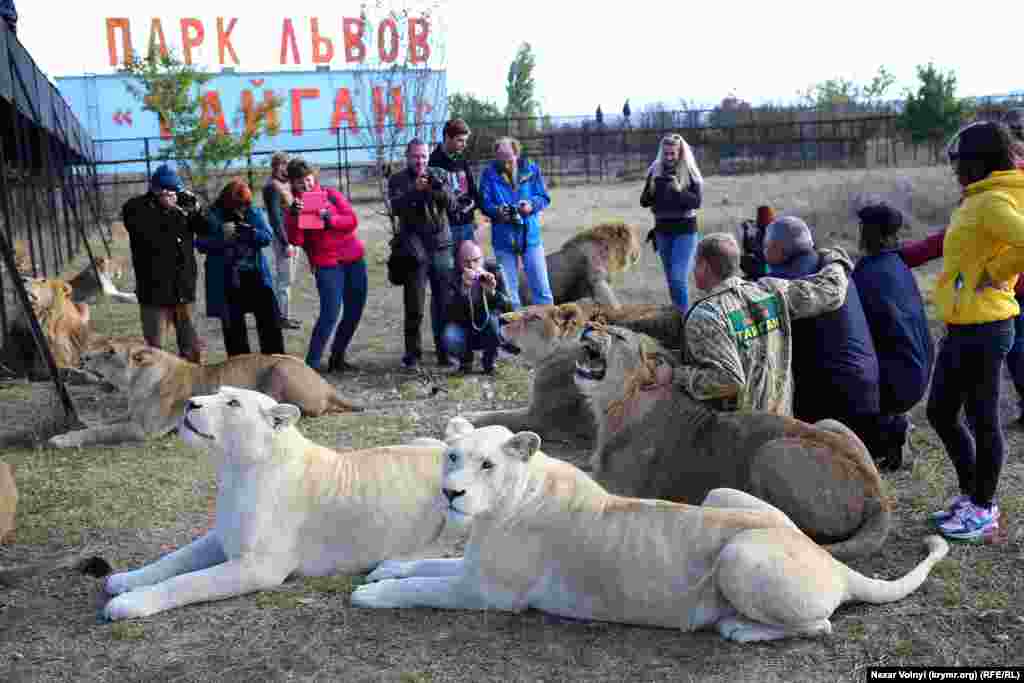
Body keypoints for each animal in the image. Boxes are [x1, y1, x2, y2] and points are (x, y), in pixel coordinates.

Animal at [49, 339, 368, 448]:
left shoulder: (145, 431)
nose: (83, 358)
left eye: (110, 352)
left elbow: (101, 432)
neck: (137, 383)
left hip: (278, 368)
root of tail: (327, 385)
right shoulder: (131, 416)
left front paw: (62, 440)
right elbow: (103, 423)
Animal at [101, 387, 450, 622]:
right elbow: (173, 560)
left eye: (233, 403)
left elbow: (187, 582)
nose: (190, 402)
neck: (235, 470)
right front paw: (125, 580)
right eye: (218, 393)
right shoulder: (221, 537)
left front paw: (129, 603)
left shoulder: (259, 567)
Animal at [354, 413, 950, 643]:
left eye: (486, 466)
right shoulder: (472, 567)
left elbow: (420, 588)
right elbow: (425, 563)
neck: (499, 507)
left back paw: (738, 628)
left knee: (819, 625)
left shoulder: (489, 593)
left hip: (740, 555)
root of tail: (831, 561)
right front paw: (386, 566)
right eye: (452, 456)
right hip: (722, 496)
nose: (451, 494)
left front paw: (370, 593)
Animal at [581, 325, 892, 561]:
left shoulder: (619, 492)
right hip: (828, 422)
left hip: (770, 453)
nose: (587, 327)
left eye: (618, 335)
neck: (613, 406)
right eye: (600, 322)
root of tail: (876, 494)